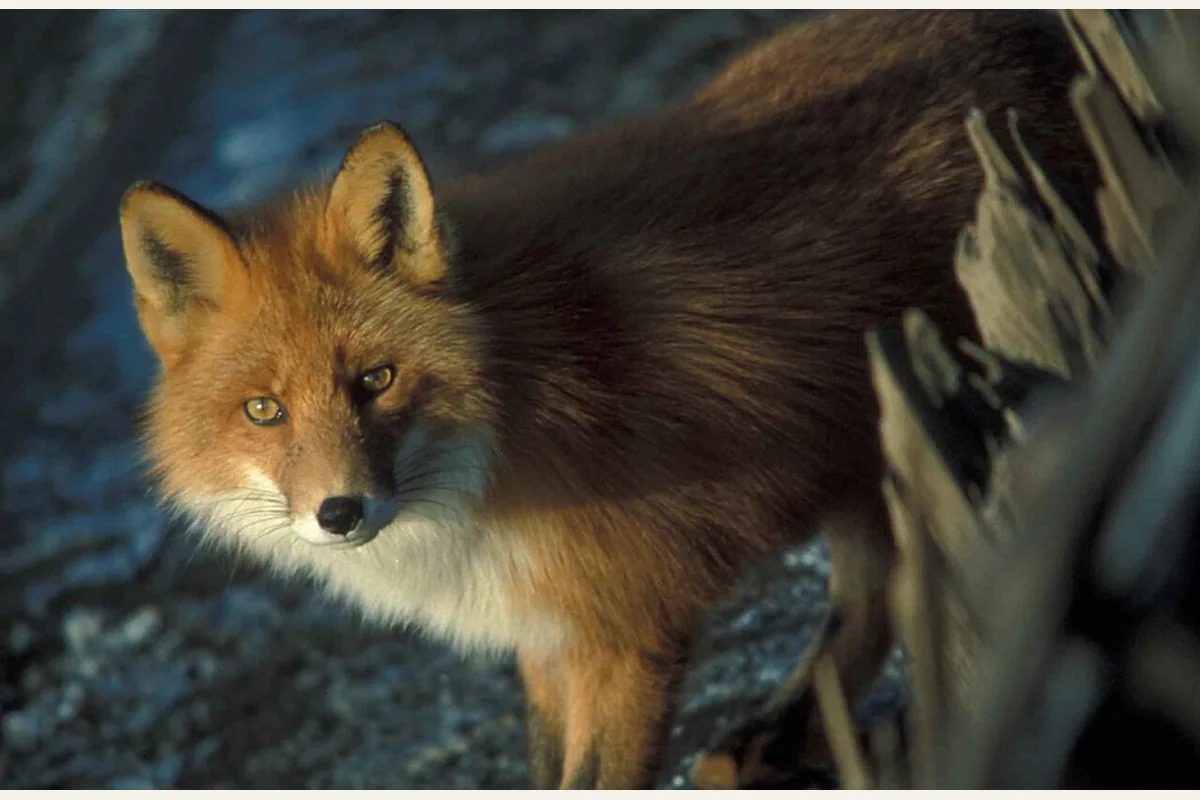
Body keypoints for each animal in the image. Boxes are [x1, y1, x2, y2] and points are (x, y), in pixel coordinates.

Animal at [118, 10, 1097, 790]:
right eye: (263, 411)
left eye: (376, 380)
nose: (340, 511)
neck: (509, 424)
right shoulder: (548, 633)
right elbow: (545, 765)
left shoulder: (628, 628)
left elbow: (593, 777)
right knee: (877, 586)